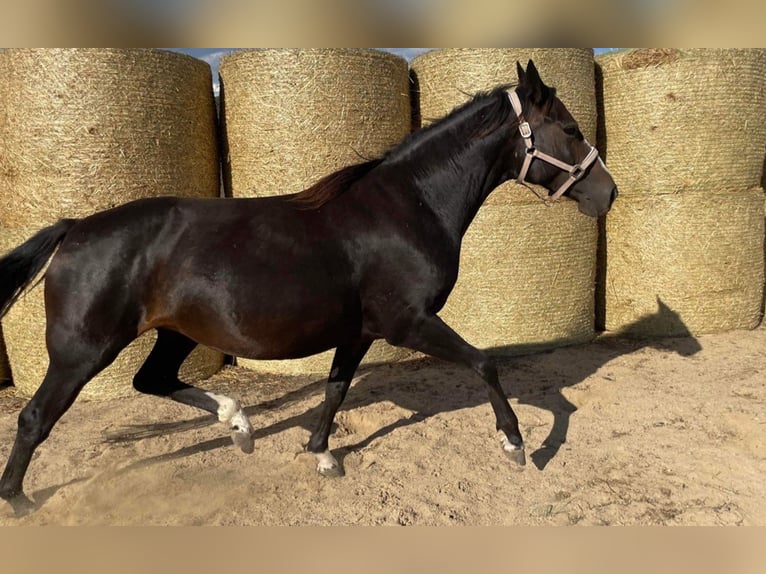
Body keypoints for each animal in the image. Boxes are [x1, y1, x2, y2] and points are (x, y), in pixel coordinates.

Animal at [0, 59, 616, 516]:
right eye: (571, 130)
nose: (607, 192)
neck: (408, 207)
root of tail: (76, 227)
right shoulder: (409, 323)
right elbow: (485, 363)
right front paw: (517, 444)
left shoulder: (359, 331)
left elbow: (336, 389)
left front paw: (322, 455)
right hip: (83, 351)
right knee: (34, 418)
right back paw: (19, 500)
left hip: (174, 333)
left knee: (152, 381)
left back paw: (239, 424)